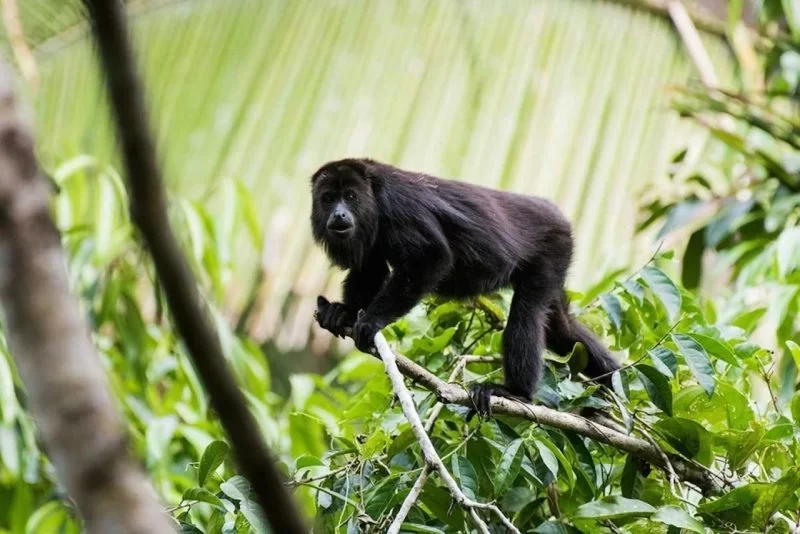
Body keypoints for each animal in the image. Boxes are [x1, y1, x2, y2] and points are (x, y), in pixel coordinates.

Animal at [310, 158, 620, 418]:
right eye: (328, 199)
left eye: (350, 197)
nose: (339, 214)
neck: (373, 196)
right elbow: (369, 269)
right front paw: (344, 312)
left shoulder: (399, 207)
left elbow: (431, 257)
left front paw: (371, 321)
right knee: (561, 327)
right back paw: (616, 379)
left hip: (552, 246)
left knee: (528, 312)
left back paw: (515, 393)